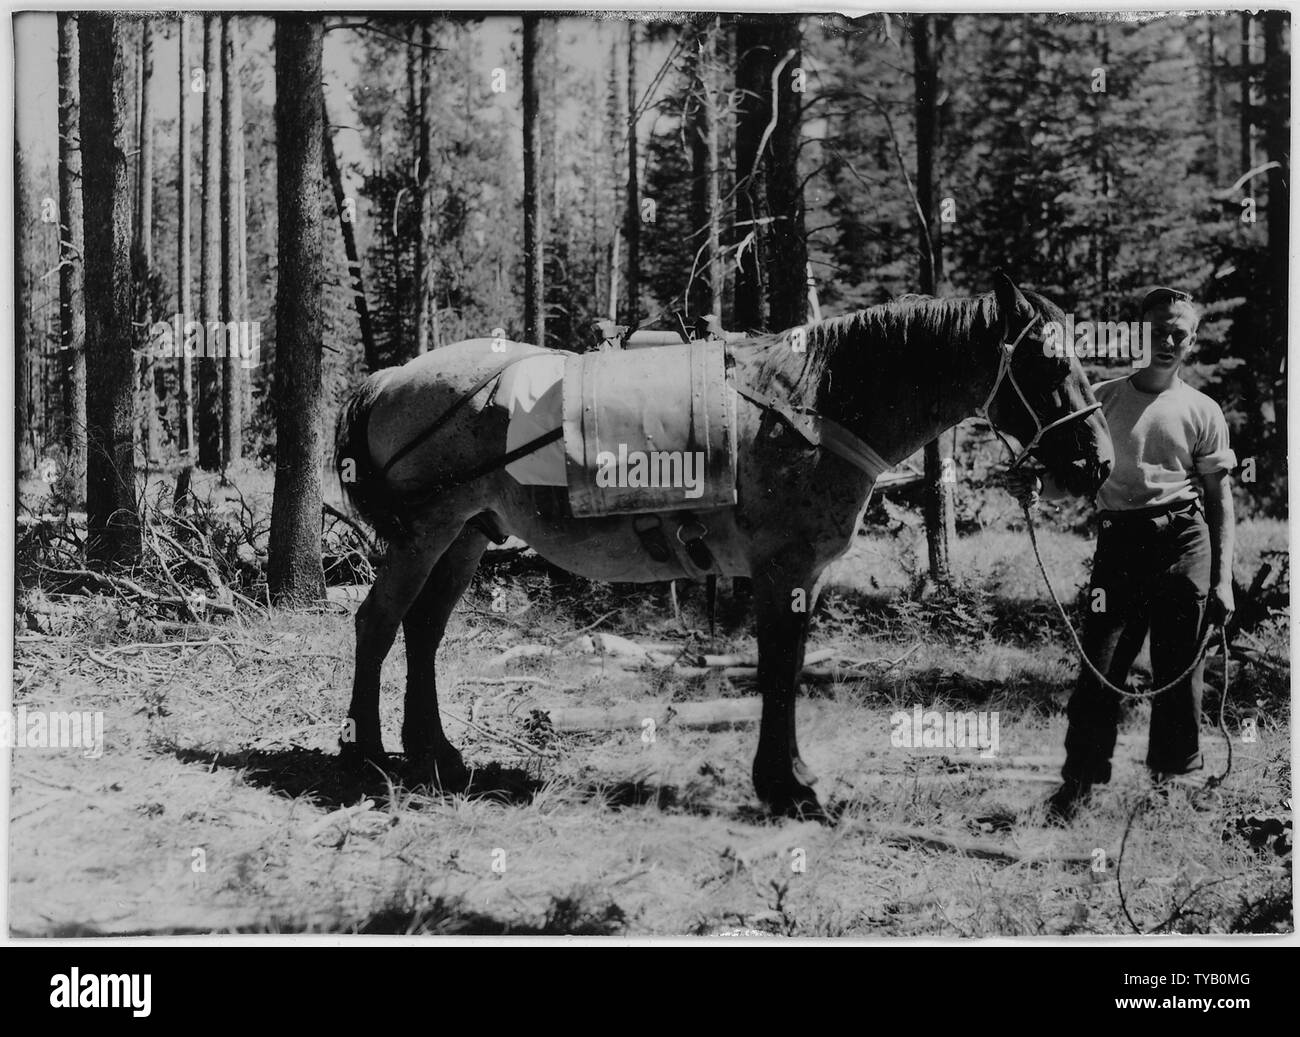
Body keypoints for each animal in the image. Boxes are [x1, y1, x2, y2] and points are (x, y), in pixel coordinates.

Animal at [333, 273, 1114, 817]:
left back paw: (436, 755)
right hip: (425, 534)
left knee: (423, 631)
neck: (816, 406)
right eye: (1045, 366)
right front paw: (787, 787)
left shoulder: (803, 575)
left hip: (467, 535)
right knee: (378, 623)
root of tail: (391, 377)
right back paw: (368, 751)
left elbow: (784, 669)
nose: (1098, 462)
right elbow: (777, 673)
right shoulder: (782, 568)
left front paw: (788, 779)